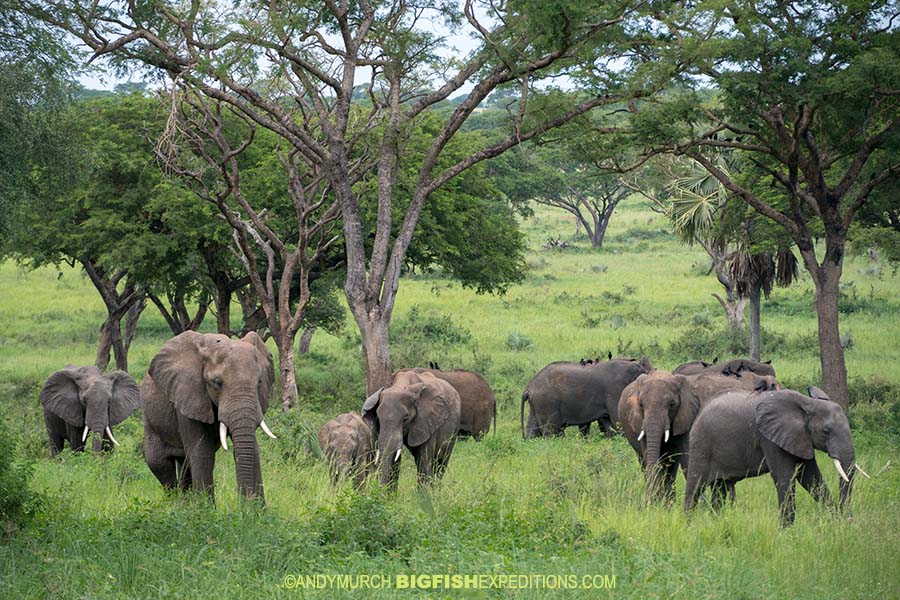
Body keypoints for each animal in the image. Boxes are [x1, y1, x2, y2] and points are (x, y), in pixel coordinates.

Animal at [141, 331, 275, 502]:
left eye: (259, 382)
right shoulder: (188, 396)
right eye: (217, 382)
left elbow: (252, 448)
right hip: (150, 421)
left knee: (184, 465)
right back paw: (173, 504)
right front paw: (205, 508)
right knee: (161, 466)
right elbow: (202, 453)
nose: (245, 501)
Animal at [520, 357, 652, 438]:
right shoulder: (614, 390)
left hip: (537, 404)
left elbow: (608, 424)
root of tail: (529, 387)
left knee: (533, 432)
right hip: (547, 402)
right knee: (553, 433)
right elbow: (617, 421)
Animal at [618, 370, 780, 501]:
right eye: (640, 404)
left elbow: (687, 459)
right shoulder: (639, 420)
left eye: (672, 404)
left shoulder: (689, 417)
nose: (647, 502)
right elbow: (649, 456)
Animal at [684, 387, 865, 527]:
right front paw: (786, 531)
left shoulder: (800, 438)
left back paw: (716, 521)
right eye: (826, 431)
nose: (849, 520)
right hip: (701, 443)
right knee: (696, 485)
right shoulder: (769, 438)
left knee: (719, 488)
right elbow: (784, 476)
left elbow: (810, 477)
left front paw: (835, 522)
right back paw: (689, 524)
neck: (807, 403)